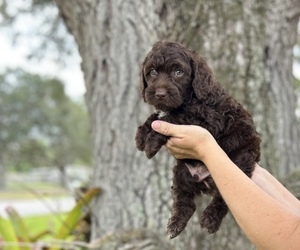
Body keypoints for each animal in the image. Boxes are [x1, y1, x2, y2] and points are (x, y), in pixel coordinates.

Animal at [135, 40, 260, 238]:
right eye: (152, 72)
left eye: (178, 72)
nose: (160, 94)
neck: (190, 98)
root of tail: (207, 182)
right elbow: (156, 117)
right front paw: (141, 136)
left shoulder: (209, 120)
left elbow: (173, 118)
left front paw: (151, 143)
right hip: (181, 172)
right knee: (186, 202)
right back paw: (175, 225)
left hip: (239, 163)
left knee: (223, 199)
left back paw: (210, 220)